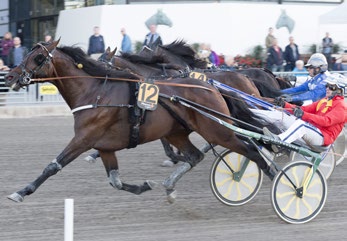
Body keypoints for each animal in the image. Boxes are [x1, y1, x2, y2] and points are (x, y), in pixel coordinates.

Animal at [2, 39, 276, 201]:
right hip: (179, 131)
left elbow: (53, 166)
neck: (96, 92)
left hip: (218, 130)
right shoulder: (105, 146)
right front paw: (145, 185)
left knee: (251, 149)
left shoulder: (84, 138)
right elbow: (115, 181)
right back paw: (169, 186)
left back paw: (277, 178)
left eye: (37, 58)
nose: (11, 76)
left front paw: (22, 191)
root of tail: (213, 88)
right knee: (196, 155)